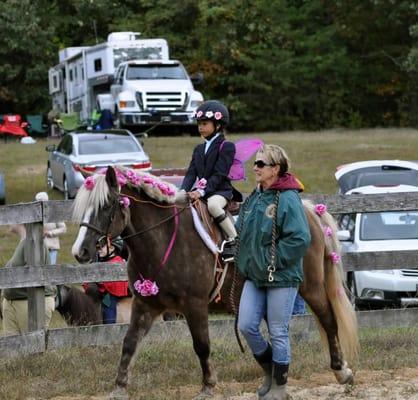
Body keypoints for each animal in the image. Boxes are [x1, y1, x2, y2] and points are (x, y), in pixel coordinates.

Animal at [72, 166, 360, 400]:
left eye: (106, 206)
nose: (80, 252)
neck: (163, 238)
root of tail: (309, 210)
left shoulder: (195, 305)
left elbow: (201, 345)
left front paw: (208, 385)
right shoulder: (145, 304)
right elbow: (129, 343)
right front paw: (119, 387)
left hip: (311, 287)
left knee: (328, 319)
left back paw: (342, 371)